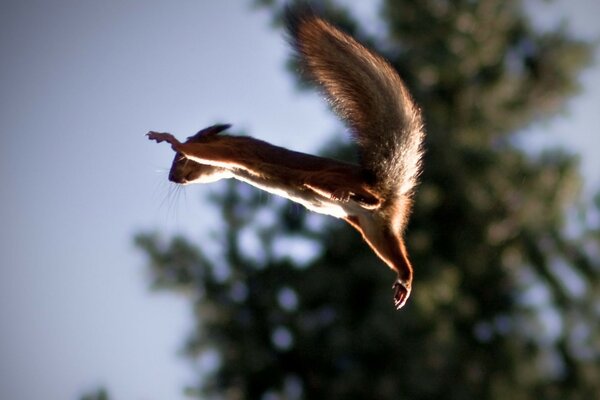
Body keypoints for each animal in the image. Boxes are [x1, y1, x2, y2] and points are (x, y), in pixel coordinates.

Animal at [147, 6, 424, 310]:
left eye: (179, 160)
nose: (172, 177)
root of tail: (384, 186)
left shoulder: (234, 151)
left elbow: (206, 152)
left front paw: (168, 139)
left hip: (330, 180)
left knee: (353, 192)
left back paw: (353, 196)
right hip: (374, 229)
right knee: (395, 251)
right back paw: (405, 280)